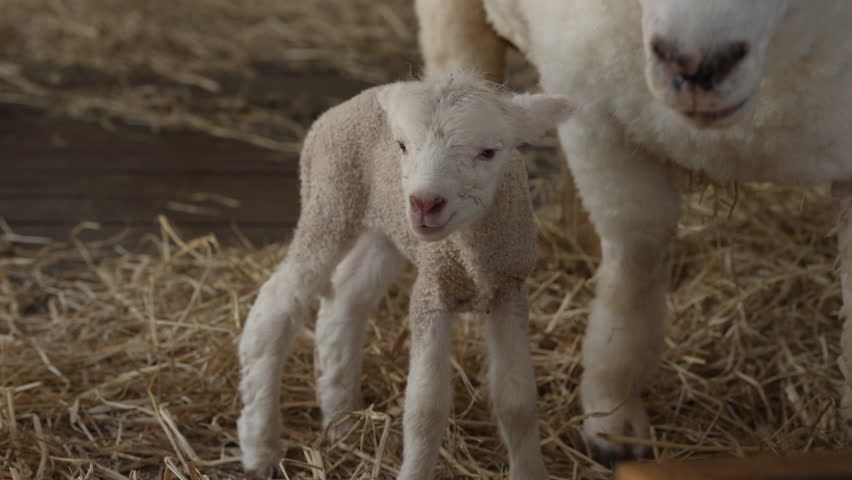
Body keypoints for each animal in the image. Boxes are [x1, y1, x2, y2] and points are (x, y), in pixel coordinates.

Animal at [236, 71, 573, 479]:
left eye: (488, 152)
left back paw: (342, 421)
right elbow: (425, 410)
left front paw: (530, 469)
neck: (472, 259)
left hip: (385, 232)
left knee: (345, 298)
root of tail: (353, 100)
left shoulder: (510, 289)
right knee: (275, 308)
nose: (424, 203)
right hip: (329, 201)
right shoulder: (430, 292)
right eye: (402, 146)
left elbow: (518, 402)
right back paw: (260, 448)